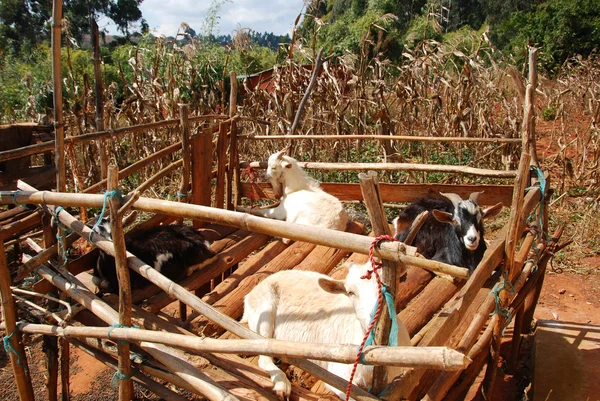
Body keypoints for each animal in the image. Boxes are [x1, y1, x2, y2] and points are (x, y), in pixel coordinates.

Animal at [241, 260, 410, 398]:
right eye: (350, 292)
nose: (374, 319)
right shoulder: (338, 378)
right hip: (263, 313)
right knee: (263, 355)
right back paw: (282, 385)